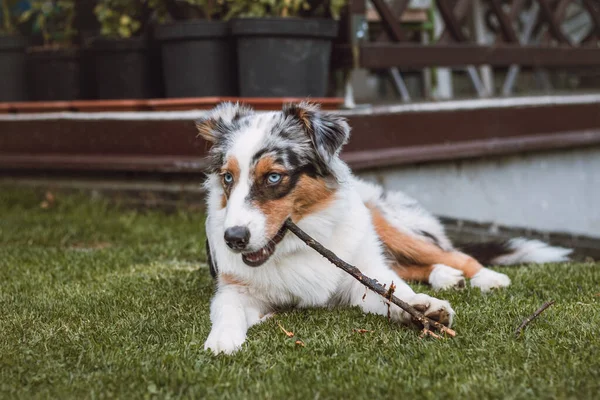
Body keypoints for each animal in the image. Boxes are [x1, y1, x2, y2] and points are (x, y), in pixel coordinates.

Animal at [198, 101, 572, 354]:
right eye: (228, 178)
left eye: (273, 177)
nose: (233, 239)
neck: (301, 242)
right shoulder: (235, 288)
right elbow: (227, 309)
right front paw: (222, 340)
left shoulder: (358, 277)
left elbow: (394, 293)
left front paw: (425, 307)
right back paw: (445, 277)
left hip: (386, 224)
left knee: (451, 253)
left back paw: (485, 277)